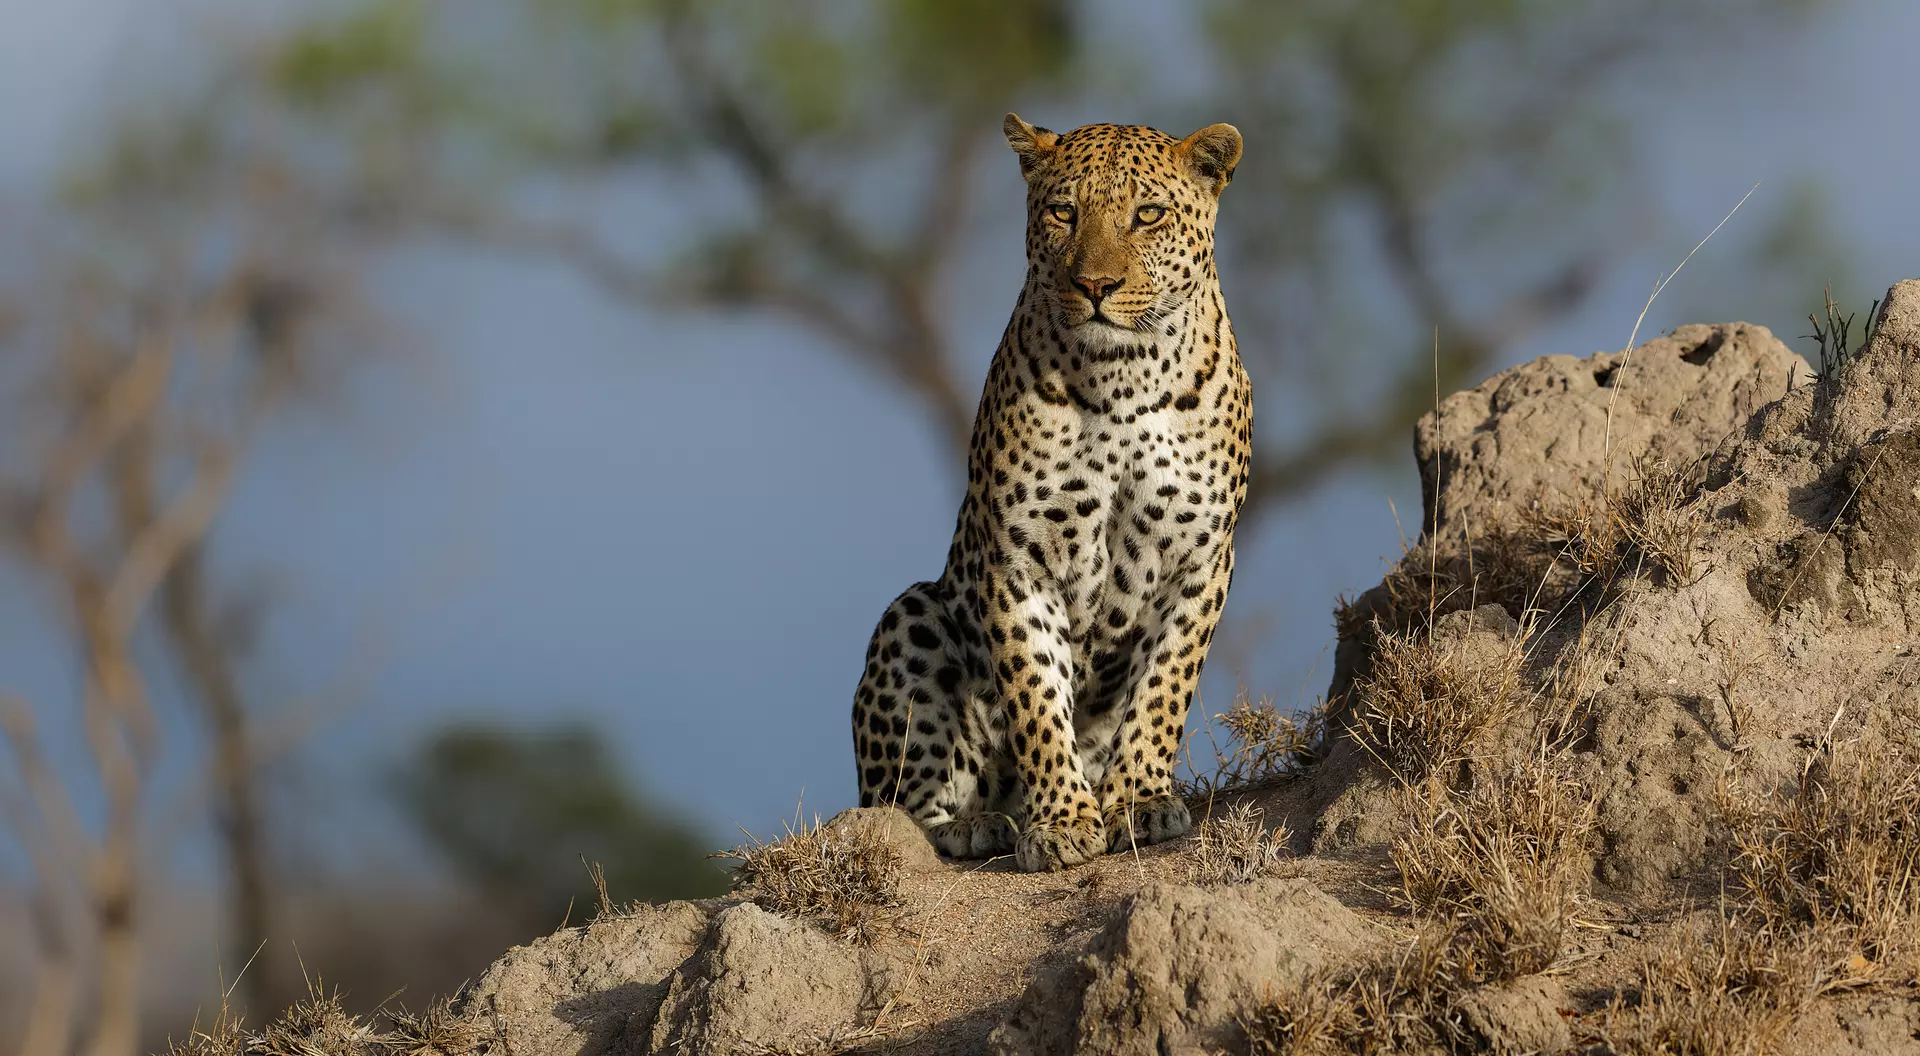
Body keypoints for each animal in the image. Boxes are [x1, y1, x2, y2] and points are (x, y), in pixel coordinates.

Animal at [851, 114, 1252, 872]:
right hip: (912, 614)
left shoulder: (1202, 557)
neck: (1125, 377)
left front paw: (1137, 801)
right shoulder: (1017, 560)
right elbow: (1036, 696)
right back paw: (976, 825)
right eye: (1064, 213)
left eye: (1147, 215)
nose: (1096, 284)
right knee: (897, 808)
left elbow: (1164, 687)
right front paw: (1063, 822)